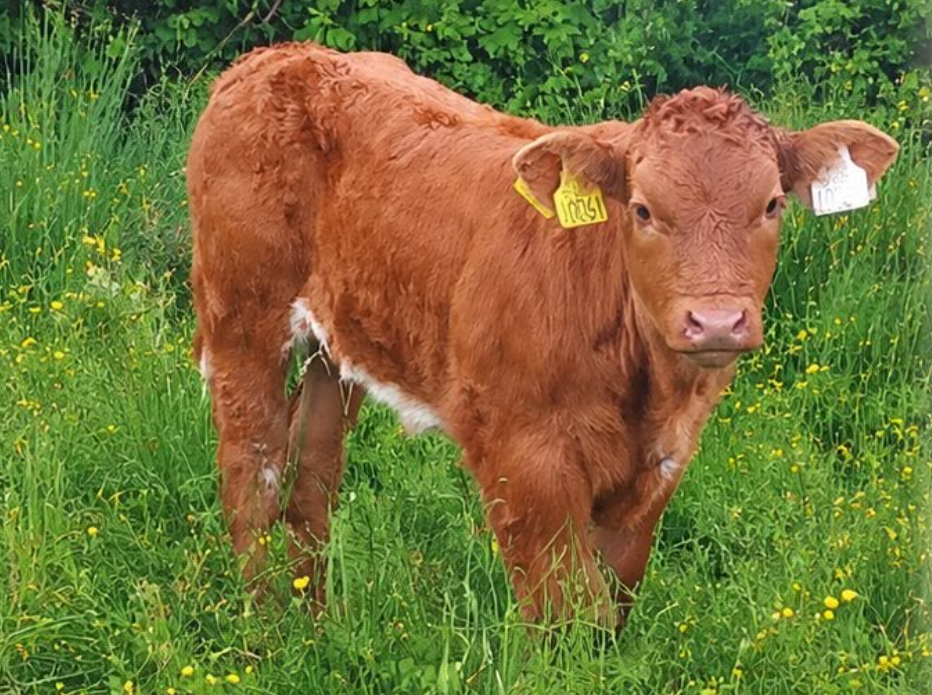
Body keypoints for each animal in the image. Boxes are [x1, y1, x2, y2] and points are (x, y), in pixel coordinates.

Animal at [187, 42, 898, 624]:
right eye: (643, 209)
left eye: (772, 204)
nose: (716, 320)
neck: (642, 387)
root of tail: (278, 56)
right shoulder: (522, 452)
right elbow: (569, 608)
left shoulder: (660, 464)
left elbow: (614, 600)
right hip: (242, 315)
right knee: (251, 472)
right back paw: (267, 633)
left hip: (336, 346)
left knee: (311, 477)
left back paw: (318, 627)